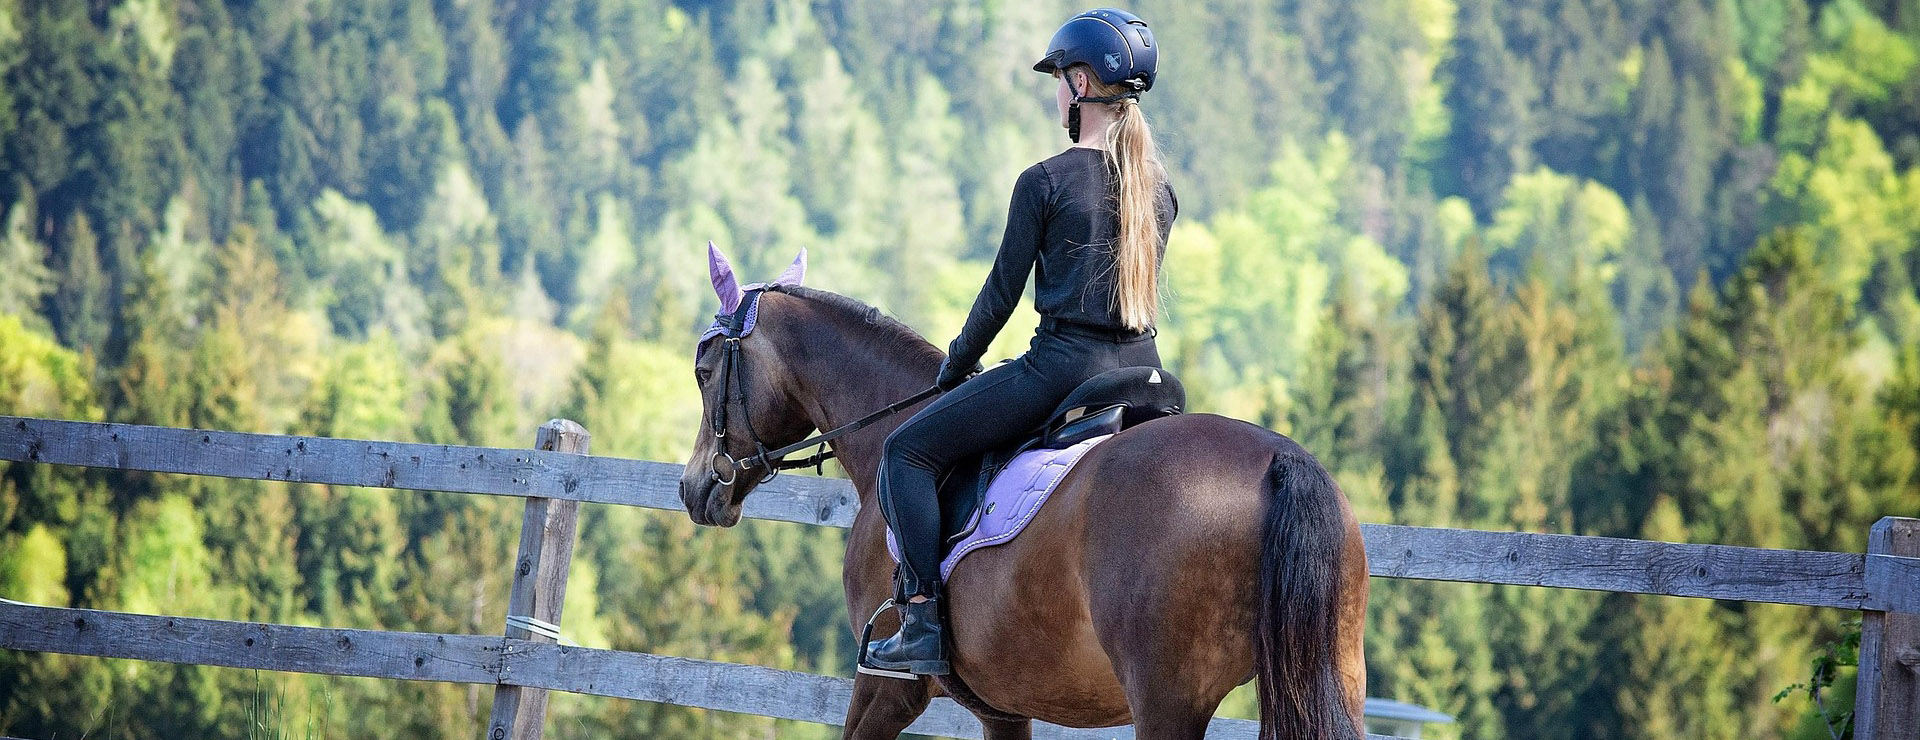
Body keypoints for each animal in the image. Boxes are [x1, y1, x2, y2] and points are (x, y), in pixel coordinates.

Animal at [676, 251, 1369, 740]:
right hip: (1330, 678)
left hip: (1168, 702)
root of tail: (1278, 458)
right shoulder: (1003, 710)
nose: (695, 487)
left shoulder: (887, 686)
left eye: (705, 373)